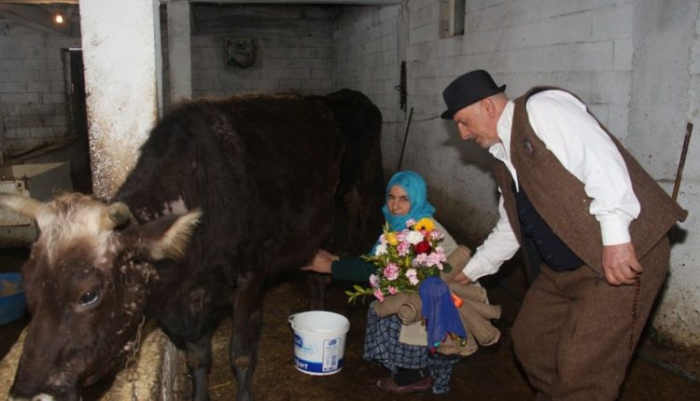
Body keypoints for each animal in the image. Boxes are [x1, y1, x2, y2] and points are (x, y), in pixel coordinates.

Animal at [0, 94, 344, 400]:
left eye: (89, 294)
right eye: (28, 283)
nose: (29, 394)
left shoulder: (250, 279)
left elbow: (242, 356)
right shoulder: (190, 299)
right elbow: (198, 359)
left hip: (328, 224)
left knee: (320, 279)